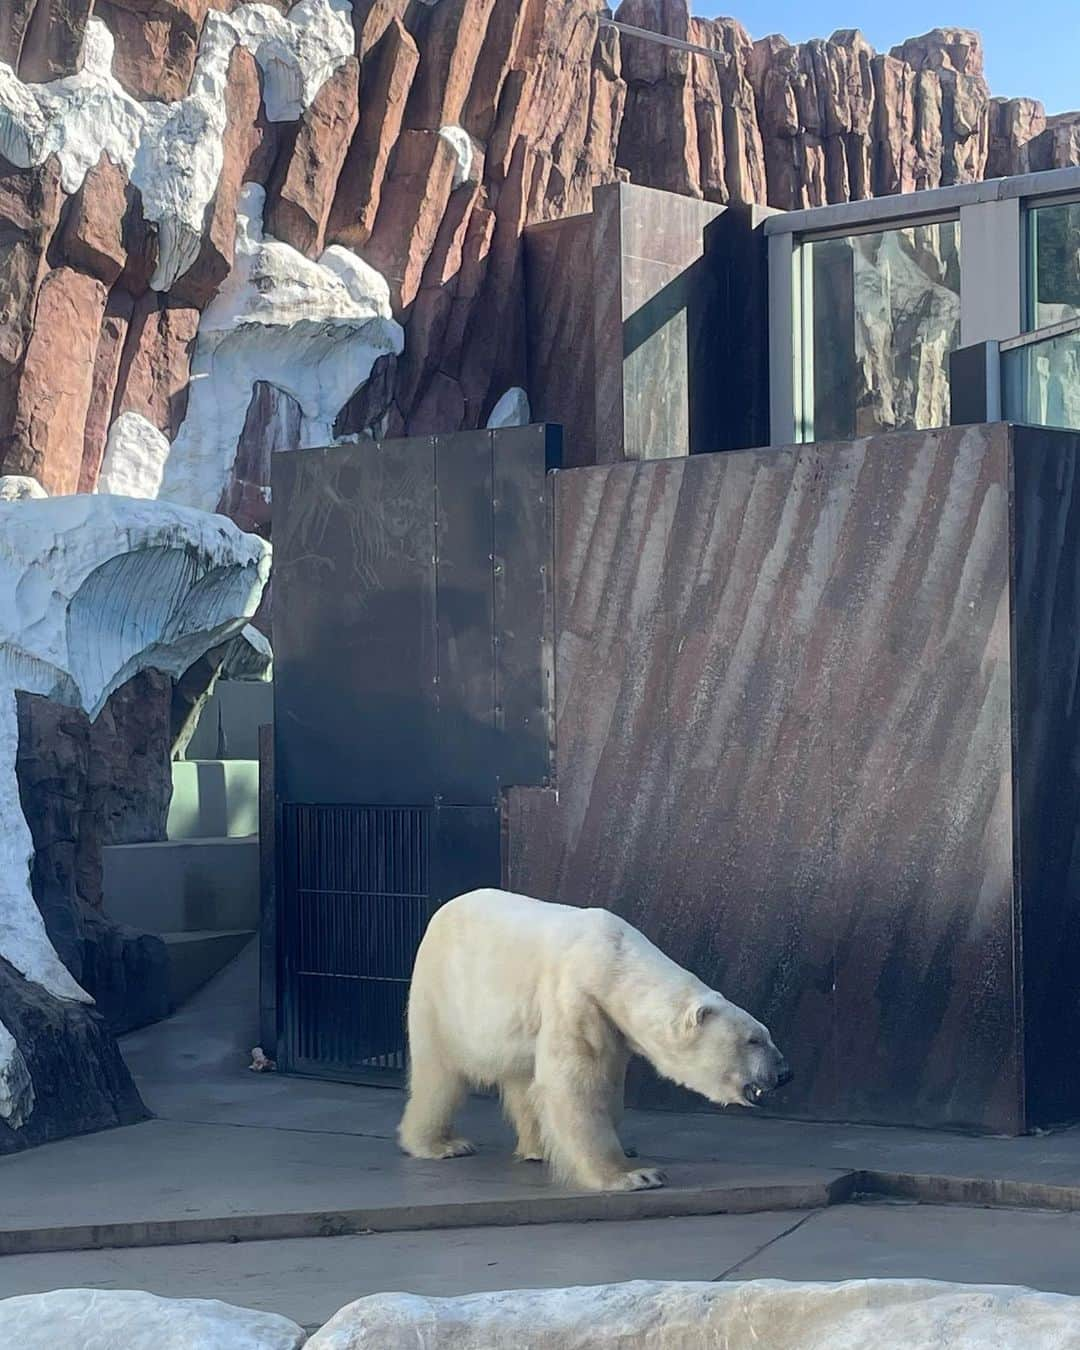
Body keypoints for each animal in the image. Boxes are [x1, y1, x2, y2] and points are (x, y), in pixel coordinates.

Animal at [399, 885, 788, 1193]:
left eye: (766, 1034)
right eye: (753, 1040)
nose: (785, 1073)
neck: (613, 962)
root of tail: (442, 911)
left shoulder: (612, 1024)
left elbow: (606, 1083)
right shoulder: (576, 996)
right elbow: (575, 1084)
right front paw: (635, 1175)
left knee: (522, 1079)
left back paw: (537, 1147)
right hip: (440, 997)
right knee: (438, 1075)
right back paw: (441, 1144)